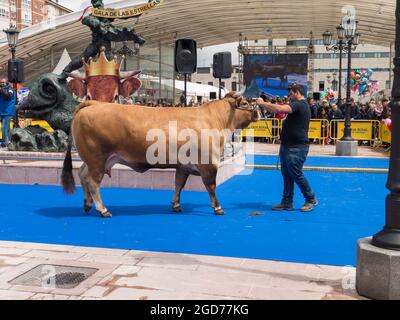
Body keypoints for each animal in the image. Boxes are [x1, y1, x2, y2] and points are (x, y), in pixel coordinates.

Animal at [61, 92, 258, 218]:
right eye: (245, 104)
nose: (257, 112)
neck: (215, 120)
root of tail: (94, 103)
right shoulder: (209, 163)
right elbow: (211, 187)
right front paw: (218, 208)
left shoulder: (183, 165)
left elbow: (179, 184)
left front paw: (176, 205)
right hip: (98, 159)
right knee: (93, 182)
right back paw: (103, 210)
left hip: (93, 160)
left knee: (82, 175)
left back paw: (87, 205)